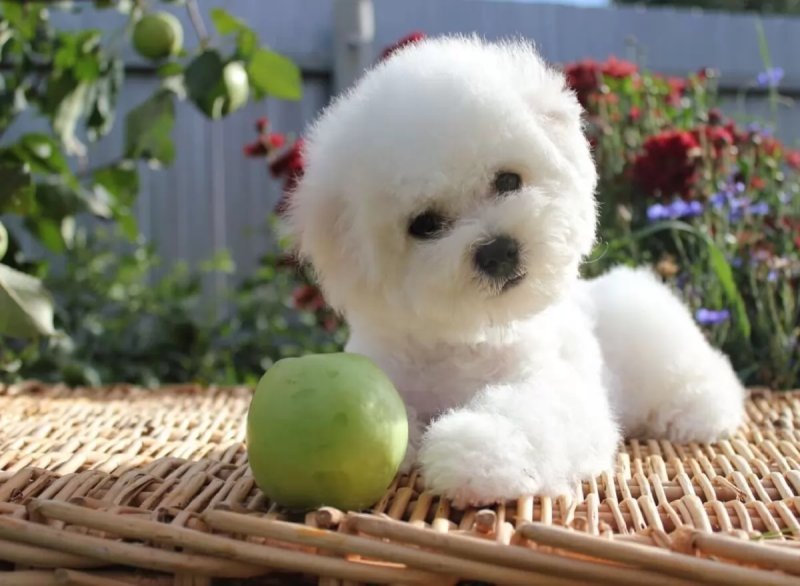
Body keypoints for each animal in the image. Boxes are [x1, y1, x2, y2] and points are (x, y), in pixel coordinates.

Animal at [286, 34, 744, 504]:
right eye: (425, 224)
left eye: (508, 180)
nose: (497, 250)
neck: (467, 336)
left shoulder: (559, 388)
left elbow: (530, 414)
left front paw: (473, 450)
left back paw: (699, 412)